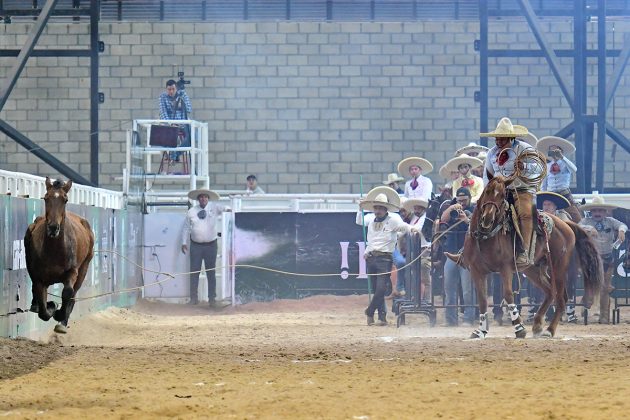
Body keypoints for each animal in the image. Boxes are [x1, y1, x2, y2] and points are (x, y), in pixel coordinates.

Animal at [24, 178, 95, 334]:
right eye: (46, 198)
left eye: (65, 199)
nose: (53, 227)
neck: (55, 251)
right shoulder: (39, 277)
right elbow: (42, 308)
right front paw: (51, 306)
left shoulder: (72, 271)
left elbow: (68, 292)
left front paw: (59, 315)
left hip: (84, 267)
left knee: (73, 294)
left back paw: (63, 321)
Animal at [444, 176, 604, 340]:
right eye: (487, 191)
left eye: (502, 196)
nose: (488, 217)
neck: (485, 237)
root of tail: (565, 224)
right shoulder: (477, 271)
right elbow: (482, 300)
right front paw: (480, 331)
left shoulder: (505, 268)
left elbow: (508, 295)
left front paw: (519, 328)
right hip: (532, 269)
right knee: (550, 292)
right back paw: (537, 325)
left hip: (558, 267)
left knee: (561, 298)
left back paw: (549, 330)